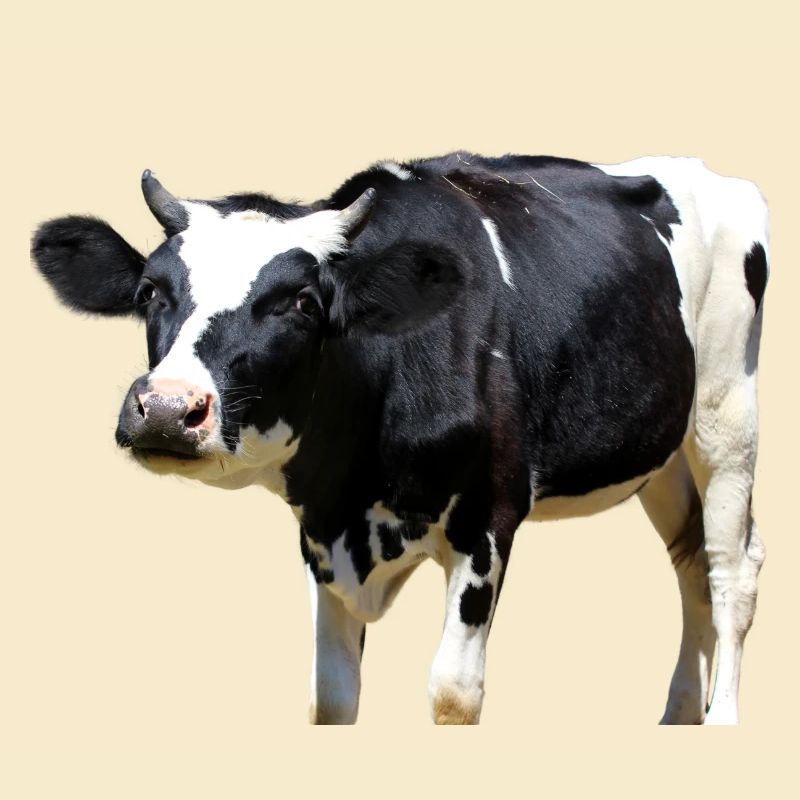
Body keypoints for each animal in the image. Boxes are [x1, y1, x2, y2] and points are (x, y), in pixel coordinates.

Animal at [31, 153, 769, 725]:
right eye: (150, 291)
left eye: (302, 303)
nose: (164, 408)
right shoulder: (320, 532)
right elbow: (331, 696)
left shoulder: (489, 518)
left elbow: (452, 693)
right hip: (662, 455)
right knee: (691, 566)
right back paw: (678, 714)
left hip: (726, 416)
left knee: (731, 568)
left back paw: (721, 718)